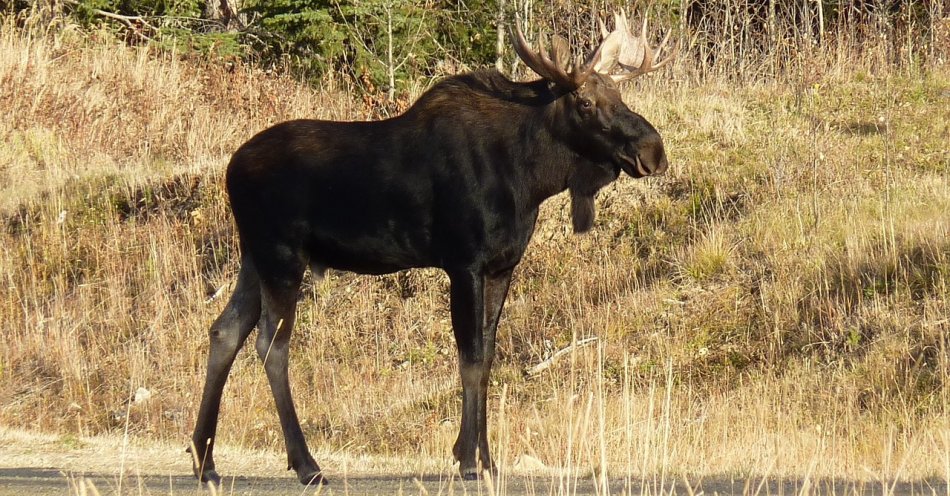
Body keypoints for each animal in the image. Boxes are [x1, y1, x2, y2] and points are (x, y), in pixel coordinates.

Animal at [188, 14, 676, 484]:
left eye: (618, 92)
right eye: (585, 103)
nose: (653, 150)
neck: (530, 177)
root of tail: (230, 169)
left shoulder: (502, 266)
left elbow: (489, 355)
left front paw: (486, 459)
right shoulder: (463, 263)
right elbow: (471, 358)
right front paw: (468, 461)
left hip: (253, 257)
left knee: (224, 331)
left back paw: (205, 460)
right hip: (282, 255)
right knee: (271, 344)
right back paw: (306, 464)